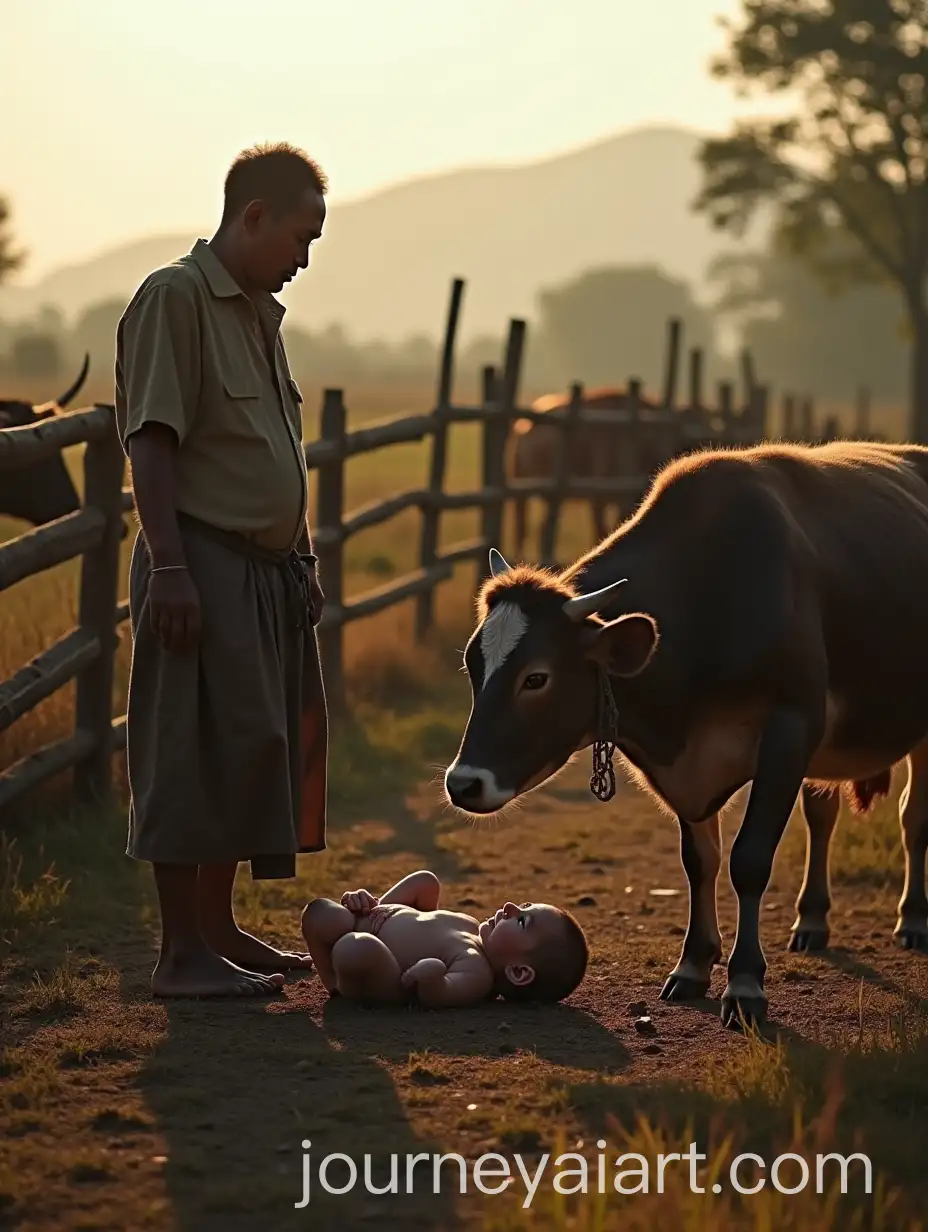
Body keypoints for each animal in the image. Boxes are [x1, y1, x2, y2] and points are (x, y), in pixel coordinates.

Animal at [445, 439, 928, 1030]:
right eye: (472, 666)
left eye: (536, 677)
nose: (463, 783)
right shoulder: (690, 767)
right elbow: (700, 860)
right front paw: (694, 963)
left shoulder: (792, 729)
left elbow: (749, 859)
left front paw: (744, 984)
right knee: (823, 813)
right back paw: (812, 919)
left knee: (913, 817)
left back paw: (913, 917)